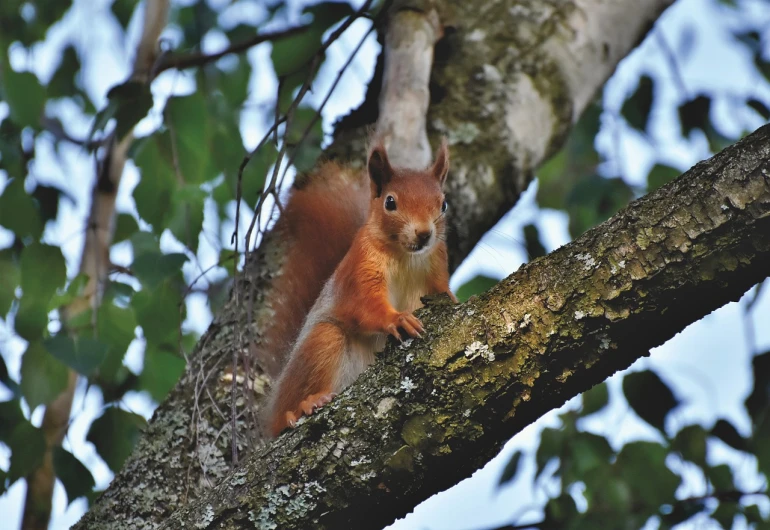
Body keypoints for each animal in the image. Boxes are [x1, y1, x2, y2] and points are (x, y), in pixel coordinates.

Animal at [266, 138, 456, 436]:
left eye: (444, 204)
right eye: (390, 202)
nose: (424, 234)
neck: (405, 256)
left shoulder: (436, 268)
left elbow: (442, 293)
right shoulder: (359, 268)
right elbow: (364, 305)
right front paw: (397, 319)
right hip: (323, 341)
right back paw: (301, 408)